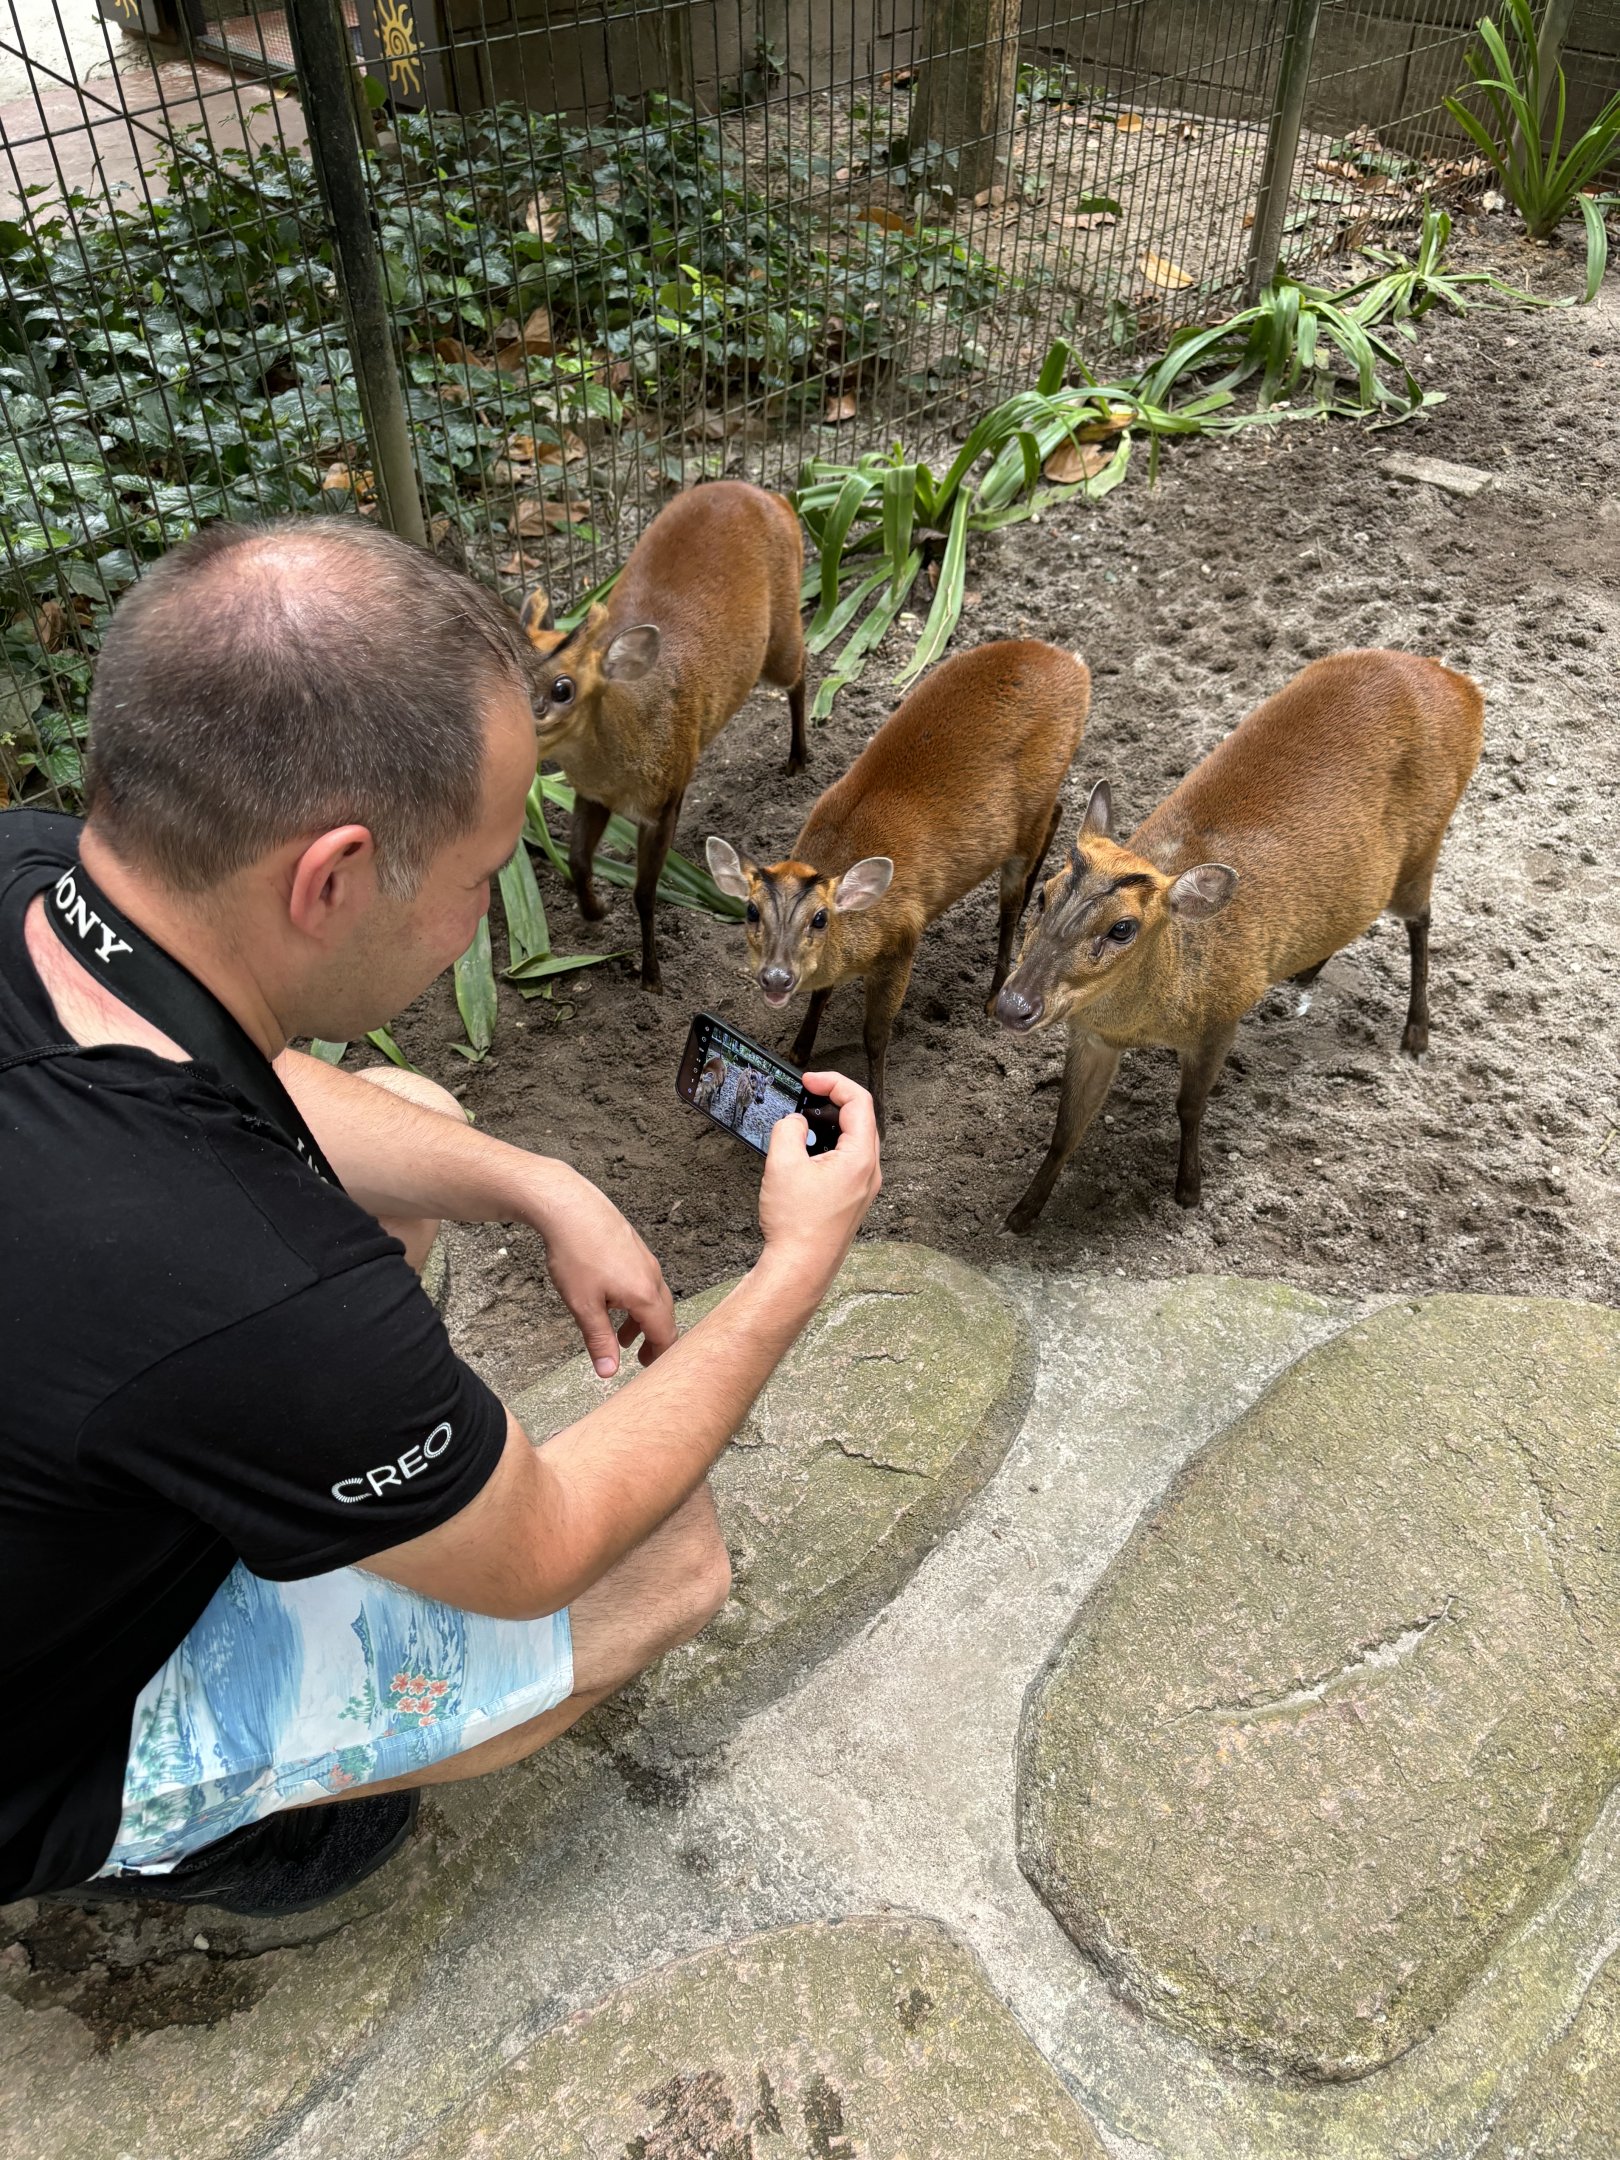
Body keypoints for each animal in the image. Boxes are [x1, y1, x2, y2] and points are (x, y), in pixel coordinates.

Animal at [520, 481, 806, 992]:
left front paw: (651, 974)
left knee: (803, 671)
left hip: (781, 633)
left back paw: (799, 759)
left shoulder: (665, 801)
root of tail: (773, 496)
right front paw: (595, 911)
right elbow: (577, 860)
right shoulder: (591, 795)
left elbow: (645, 893)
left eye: (562, 689)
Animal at [708, 639, 1091, 1130]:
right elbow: (822, 994)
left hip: (1030, 808)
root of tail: (1070, 662)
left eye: (820, 918)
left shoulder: (901, 941)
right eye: (751, 911)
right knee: (1059, 815)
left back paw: (994, 992)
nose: (776, 976)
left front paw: (880, 1115)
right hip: (1037, 807)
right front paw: (798, 1048)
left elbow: (874, 1037)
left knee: (1012, 898)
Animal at [993, 648, 1484, 1233]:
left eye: (1122, 928)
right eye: (1043, 895)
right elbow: (1066, 1126)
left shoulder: (1222, 1016)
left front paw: (1188, 1190)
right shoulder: (1093, 1036)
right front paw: (1022, 1213)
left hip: (1424, 846)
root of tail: (1461, 686)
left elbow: (1189, 1107)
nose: (1013, 1004)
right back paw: (1308, 972)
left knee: (1422, 919)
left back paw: (1416, 1035)